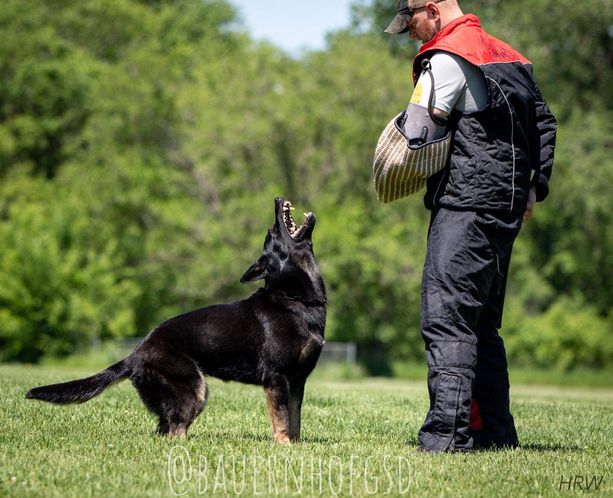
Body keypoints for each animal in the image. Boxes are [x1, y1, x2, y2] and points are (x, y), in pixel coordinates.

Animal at [27, 197, 327, 443]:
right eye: (273, 232)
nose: (276, 199)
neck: (294, 298)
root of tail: (135, 354)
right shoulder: (277, 378)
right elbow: (281, 418)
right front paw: (284, 445)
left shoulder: (297, 381)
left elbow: (295, 418)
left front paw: (296, 445)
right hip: (195, 389)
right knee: (175, 431)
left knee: (164, 429)